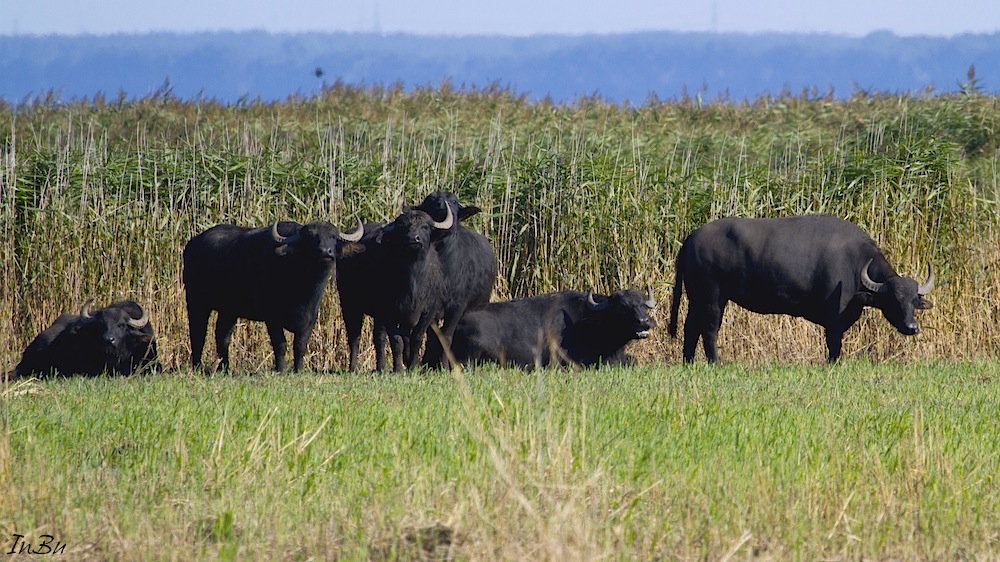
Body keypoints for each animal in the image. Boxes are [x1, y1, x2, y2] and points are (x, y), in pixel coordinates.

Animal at [183, 217, 364, 370]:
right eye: (311, 238)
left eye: (333, 237)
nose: (325, 252)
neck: (303, 286)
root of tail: (191, 245)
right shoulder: (272, 317)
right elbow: (281, 344)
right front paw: (281, 369)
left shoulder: (311, 317)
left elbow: (300, 345)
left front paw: (299, 369)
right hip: (196, 301)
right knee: (198, 334)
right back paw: (197, 366)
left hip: (228, 310)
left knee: (222, 335)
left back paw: (225, 368)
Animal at [412, 191, 498, 368]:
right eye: (431, 199)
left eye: (454, 202)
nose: (442, 206)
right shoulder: (432, 306)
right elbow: (433, 336)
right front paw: (427, 364)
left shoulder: (457, 305)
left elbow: (446, 336)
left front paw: (444, 366)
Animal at [668, 212, 932, 360]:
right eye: (893, 300)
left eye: (913, 301)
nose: (912, 327)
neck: (856, 264)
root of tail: (691, 238)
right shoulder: (834, 321)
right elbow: (834, 347)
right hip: (712, 296)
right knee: (709, 330)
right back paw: (716, 363)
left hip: (696, 297)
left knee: (690, 328)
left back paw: (688, 362)